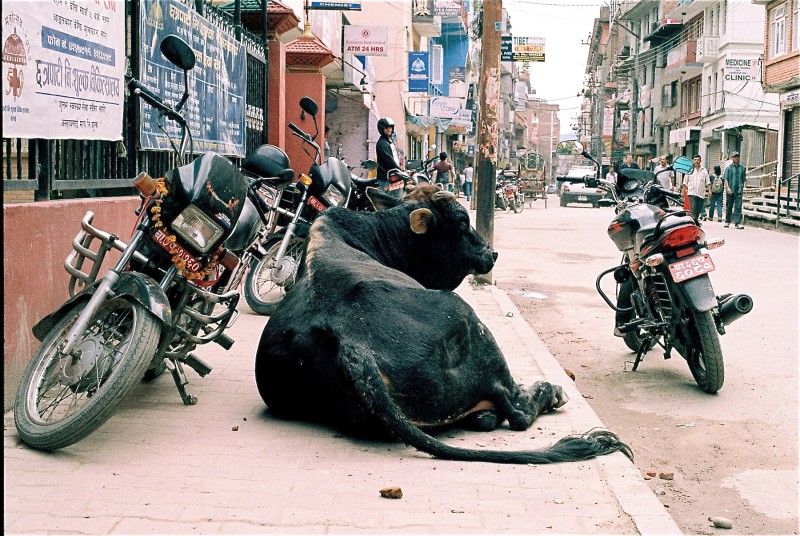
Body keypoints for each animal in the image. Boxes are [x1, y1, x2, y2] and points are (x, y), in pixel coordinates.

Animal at [256, 186, 632, 462]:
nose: (492, 253)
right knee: (518, 410)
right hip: (472, 322)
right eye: (462, 222)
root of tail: (351, 344)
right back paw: (551, 392)